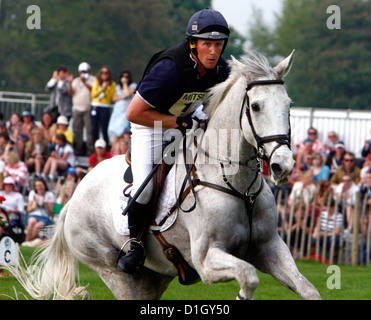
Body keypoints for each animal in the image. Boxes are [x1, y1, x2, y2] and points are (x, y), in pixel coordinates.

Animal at [2, 50, 322, 300]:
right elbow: (249, 276)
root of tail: (72, 199)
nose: (283, 166)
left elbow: (308, 290)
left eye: (289, 105)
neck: (237, 186)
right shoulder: (207, 260)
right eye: (255, 106)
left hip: (153, 277)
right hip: (111, 267)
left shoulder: (270, 248)